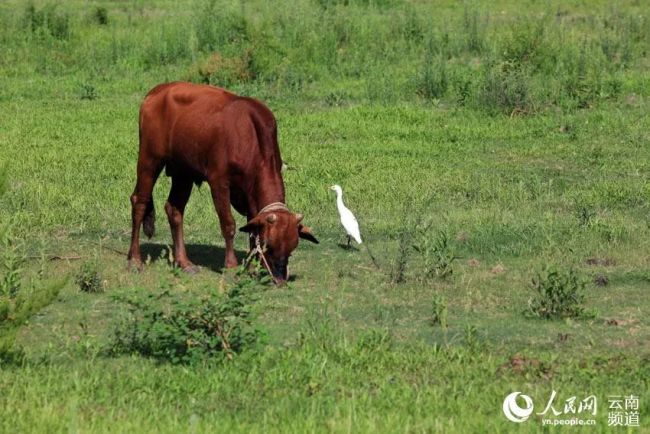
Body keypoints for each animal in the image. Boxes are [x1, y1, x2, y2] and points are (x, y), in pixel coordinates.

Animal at [126, 82, 316, 284]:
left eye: (292, 247)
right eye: (269, 245)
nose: (280, 278)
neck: (250, 137)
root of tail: (157, 90)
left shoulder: (250, 192)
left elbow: (252, 228)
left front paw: (251, 266)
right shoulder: (219, 182)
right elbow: (228, 224)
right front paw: (231, 266)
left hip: (183, 172)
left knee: (174, 210)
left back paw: (184, 262)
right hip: (149, 159)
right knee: (139, 202)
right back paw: (135, 260)